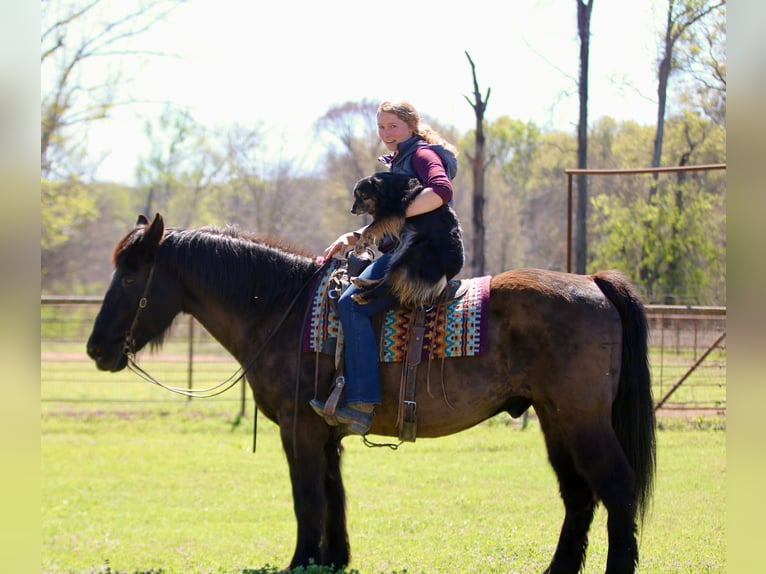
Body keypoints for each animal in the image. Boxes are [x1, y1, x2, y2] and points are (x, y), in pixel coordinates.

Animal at [86, 213, 656, 574]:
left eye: (131, 276)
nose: (96, 348)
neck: (282, 308)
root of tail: (593, 282)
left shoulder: (299, 428)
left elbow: (307, 497)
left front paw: (301, 560)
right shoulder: (326, 432)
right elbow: (333, 494)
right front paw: (332, 558)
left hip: (583, 422)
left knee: (617, 488)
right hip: (555, 421)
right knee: (579, 496)